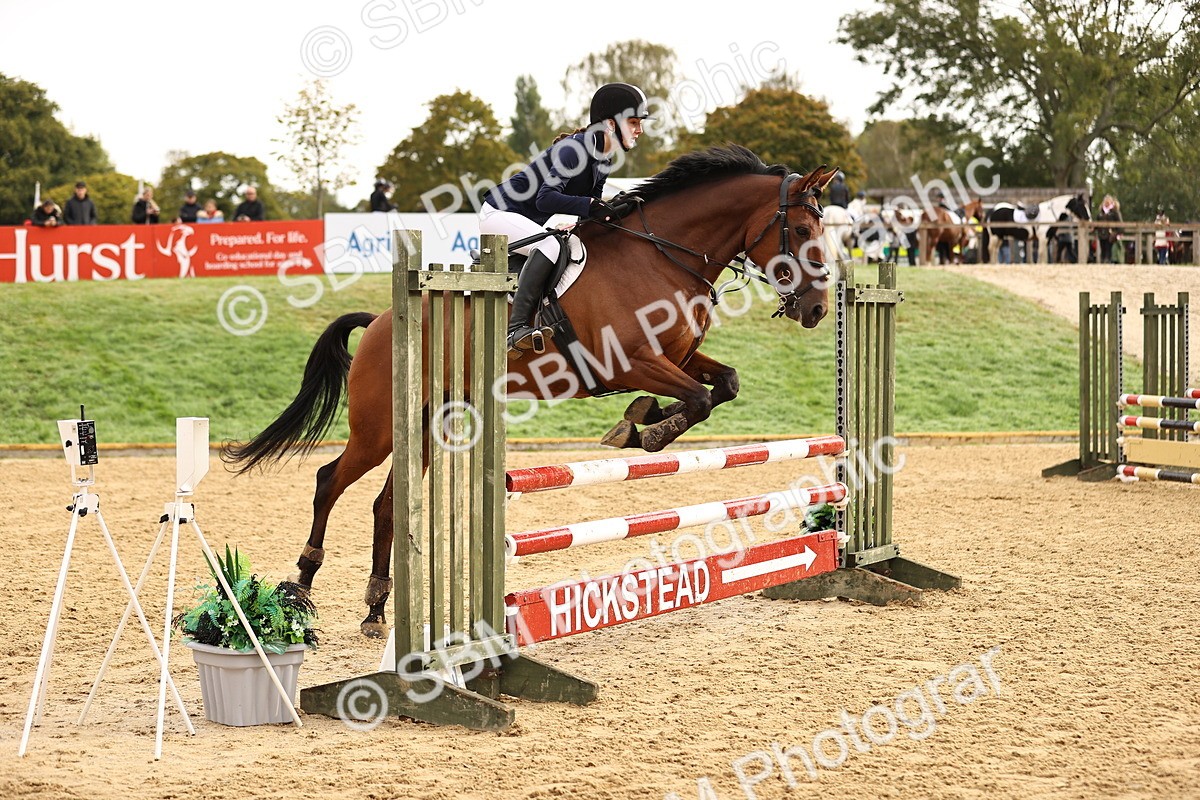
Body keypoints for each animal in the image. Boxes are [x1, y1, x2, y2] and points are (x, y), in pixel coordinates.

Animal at [221, 145, 838, 636]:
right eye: (805, 232)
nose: (815, 310)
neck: (663, 255)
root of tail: (379, 322)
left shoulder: (679, 358)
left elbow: (722, 385)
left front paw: (640, 419)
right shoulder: (633, 362)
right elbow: (700, 400)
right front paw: (642, 430)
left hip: (425, 424)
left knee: (386, 504)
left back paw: (375, 608)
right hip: (379, 429)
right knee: (330, 481)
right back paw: (302, 584)